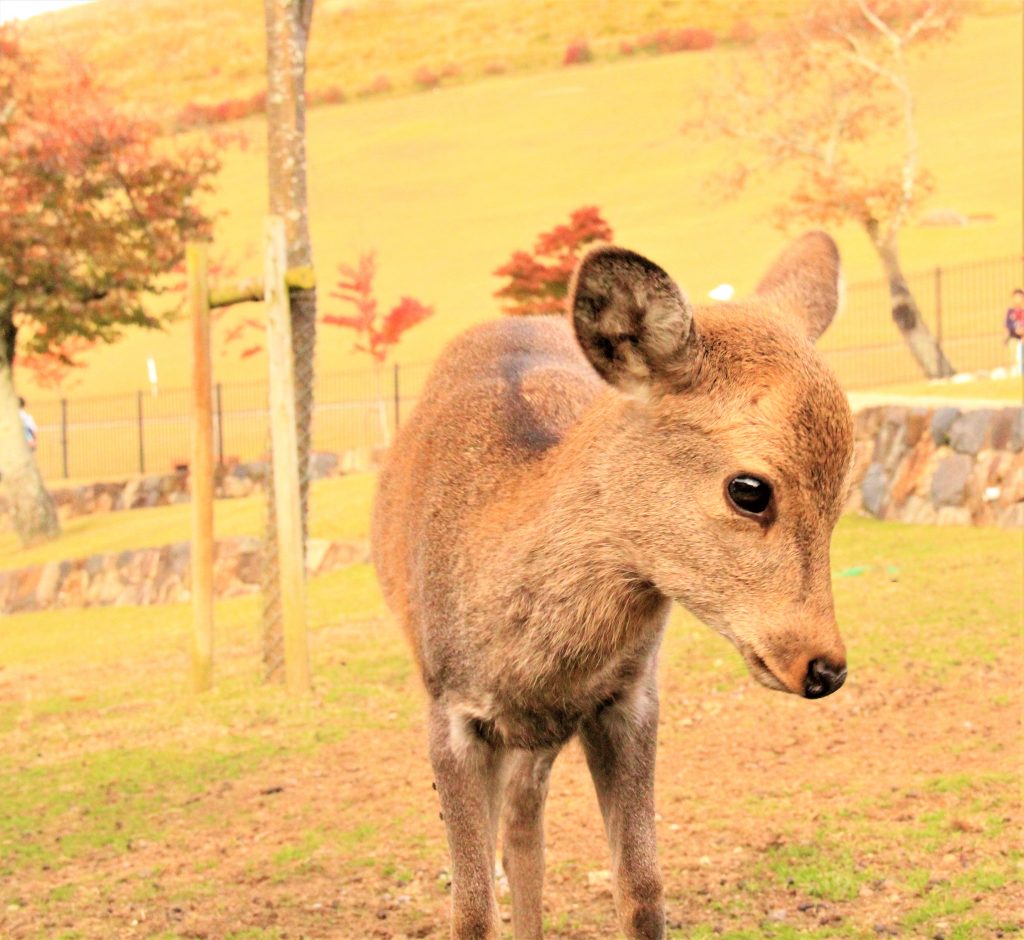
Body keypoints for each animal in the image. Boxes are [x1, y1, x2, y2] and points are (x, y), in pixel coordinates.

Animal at [372, 230, 851, 940]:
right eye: (749, 489)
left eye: (844, 492)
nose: (825, 668)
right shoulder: (448, 707)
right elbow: (471, 910)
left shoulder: (628, 698)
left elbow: (643, 888)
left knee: (524, 823)